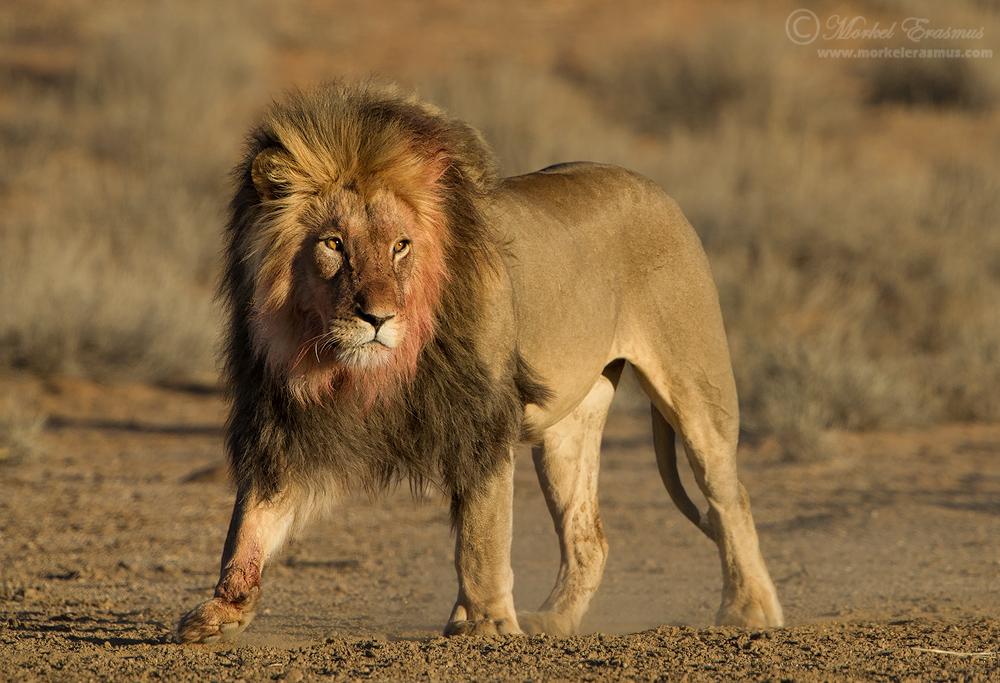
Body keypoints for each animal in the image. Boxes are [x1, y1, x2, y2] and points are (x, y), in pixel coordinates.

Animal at [176, 81, 784, 648]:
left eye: (400, 246)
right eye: (333, 244)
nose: (378, 317)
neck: (351, 365)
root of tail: (652, 187)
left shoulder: (480, 416)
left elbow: (482, 532)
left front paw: (486, 623)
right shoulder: (282, 421)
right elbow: (249, 521)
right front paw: (221, 610)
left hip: (695, 386)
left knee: (731, 497)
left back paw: (749, 610)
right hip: (567, 428)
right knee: (589, 536)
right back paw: (554, 620)